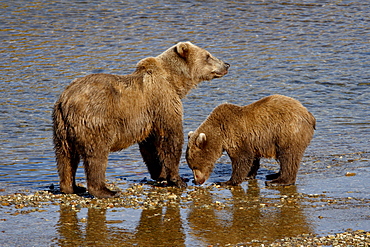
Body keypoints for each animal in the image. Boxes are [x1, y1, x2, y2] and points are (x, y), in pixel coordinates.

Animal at [52, 41, 228, 198]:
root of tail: (66, 100)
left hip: (61, 128)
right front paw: (178, 179)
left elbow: (150, 146)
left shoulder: (149, 117)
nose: (226, 64)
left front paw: (160, 174)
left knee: (65, 156)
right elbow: (171, 138)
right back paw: (106, 191)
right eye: (208, 55)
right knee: (96, 156)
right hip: (95, 120)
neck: (174, 81)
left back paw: (71, 187)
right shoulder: (163, 102)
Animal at [185, 95, 316, 186]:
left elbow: (242, 159)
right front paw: (249, 175)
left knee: (288, 157)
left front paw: (226, 182)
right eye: (191, 166)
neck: (220, 133)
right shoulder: (252, 141)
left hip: (288, 132)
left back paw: (278, 181)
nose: (196, 181)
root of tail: (309, 114)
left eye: (195, 166)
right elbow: (252, 159)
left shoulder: (235, 135)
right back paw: (273, 175)